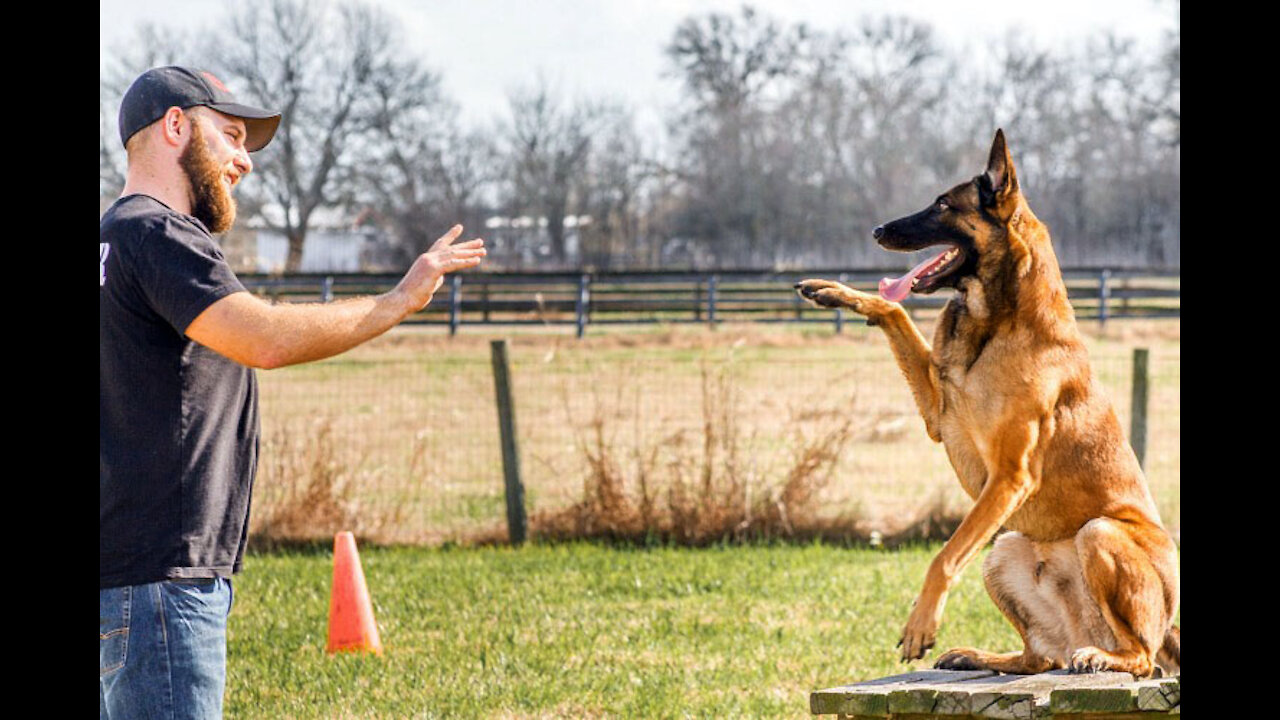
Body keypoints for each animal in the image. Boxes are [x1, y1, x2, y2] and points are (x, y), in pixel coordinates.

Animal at [798, 130, 1177, 676]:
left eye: (942, 204)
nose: (877, 230)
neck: (999, 321)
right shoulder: (939, 418)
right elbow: (894, 309)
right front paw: (833, 291)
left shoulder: (1009, 478)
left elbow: (945, 554)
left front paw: (921, 623)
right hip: (1005, 549)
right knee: (1039, 656)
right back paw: (981, 656)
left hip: (1098, 534)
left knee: (1143, 658)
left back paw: (1103, 657)